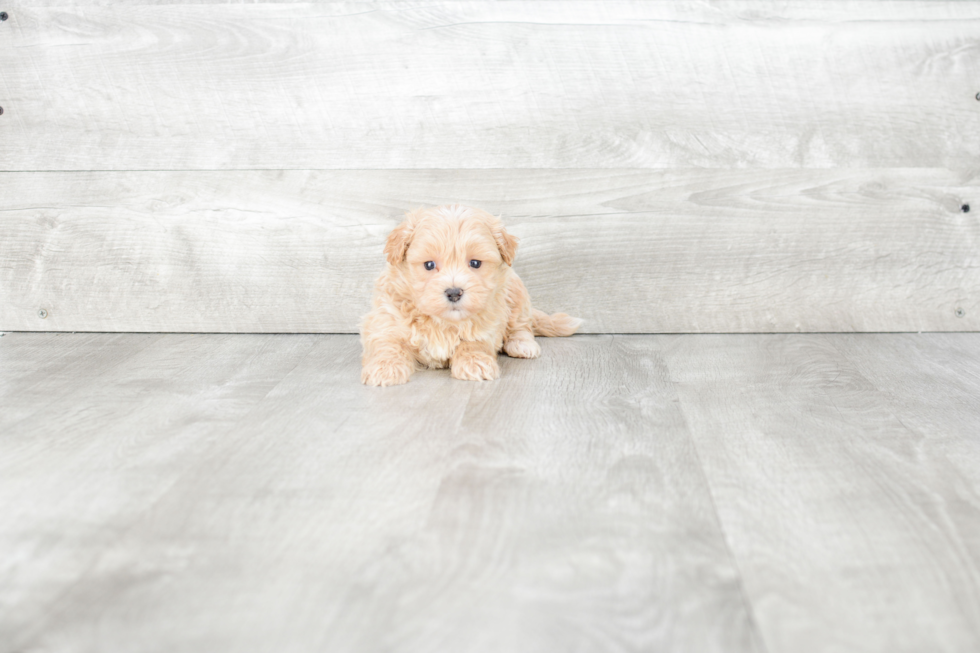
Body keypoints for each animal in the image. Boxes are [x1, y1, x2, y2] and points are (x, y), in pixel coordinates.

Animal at [360, 204, 580, 384]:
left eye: (475, 263)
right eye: (429, 265)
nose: (454, 293)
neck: (443, 322)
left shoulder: (488, 323)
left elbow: (473, 342)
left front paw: (475, 362)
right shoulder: (385, 320)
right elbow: (387, 343)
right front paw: (385, 368)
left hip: (516, 292)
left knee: (521, 324)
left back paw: (522, 344)